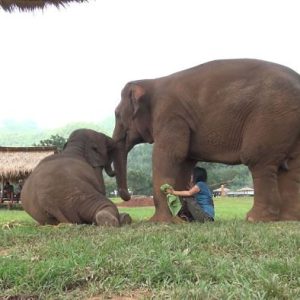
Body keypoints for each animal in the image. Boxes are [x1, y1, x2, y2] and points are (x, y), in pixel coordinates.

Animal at [113, 58, 300, 223]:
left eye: (116, 114)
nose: (127, 197)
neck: (152, 82)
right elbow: (184, 162)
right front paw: (181, 219)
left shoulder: (170, 115)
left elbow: (169, 155)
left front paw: (160, 222)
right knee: (291, 168)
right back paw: (288, 219)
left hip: (270, 116)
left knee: (258, 160)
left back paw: (255, 219)